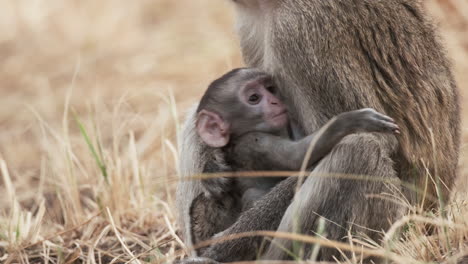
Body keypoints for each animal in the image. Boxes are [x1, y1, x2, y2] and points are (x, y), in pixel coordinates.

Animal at [188, 68, 400, 248]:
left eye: (270, 89)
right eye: (254, 98)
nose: (275, 101)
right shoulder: (255, 142)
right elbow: (297, 158)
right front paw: (350, 121)